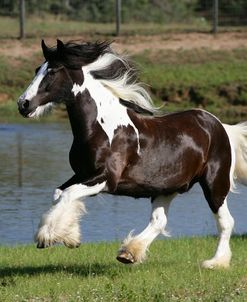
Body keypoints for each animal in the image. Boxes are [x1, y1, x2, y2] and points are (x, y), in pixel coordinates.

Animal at [17, 39, 247, 268]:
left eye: (52, 71)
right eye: (37, 69)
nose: (23, 104)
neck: (101, 127)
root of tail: (222, 127)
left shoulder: (104, 179)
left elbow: (67, 194)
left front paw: (47, 236)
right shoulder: (82, 174)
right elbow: (59, 193)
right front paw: (70, 237)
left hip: (215, 183)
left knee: (226, 222)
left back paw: (214, 262)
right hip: (166, 187)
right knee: (159, 221)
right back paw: (128, 253)